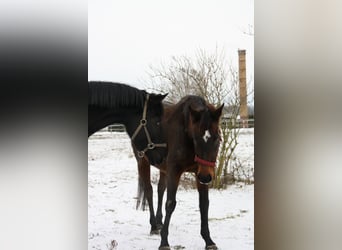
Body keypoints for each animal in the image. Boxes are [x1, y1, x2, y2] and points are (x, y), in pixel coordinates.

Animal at [134, 94, 224, 249]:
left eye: (217, 138)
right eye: (195, 139)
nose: (206, 177)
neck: (185, 132)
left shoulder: (198, 173)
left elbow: (204, 204)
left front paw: (208, 240)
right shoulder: (174, 171)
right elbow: (170, 203)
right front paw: (164, 242)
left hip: (163, 168)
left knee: (160, 189)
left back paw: (159, 222)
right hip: (142, 162)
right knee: (149, 191)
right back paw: (154, 226)